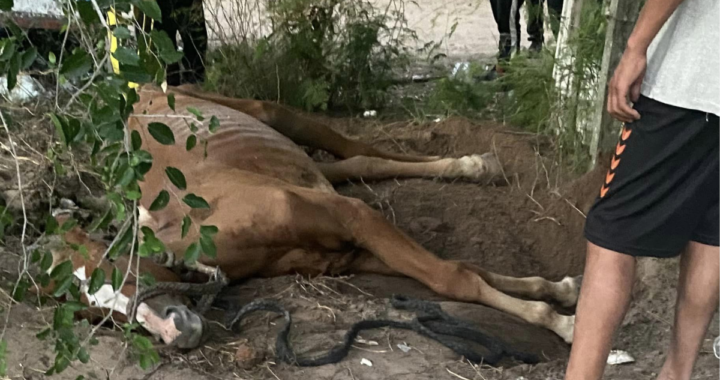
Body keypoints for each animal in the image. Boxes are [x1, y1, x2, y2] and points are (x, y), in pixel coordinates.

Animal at [40, 84, 580, 348]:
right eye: (96, 316)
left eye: (116, 269)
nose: (174, 333)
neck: (211, 230)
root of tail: (138, 89)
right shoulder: (347, 255)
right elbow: (467, 271)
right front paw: (560, 292)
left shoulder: (350, 217)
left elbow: (454, 278)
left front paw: (563, 325)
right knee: (354, 163)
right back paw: (474, 166)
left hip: (271, 113)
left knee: (359, 148)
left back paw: (478, 165)